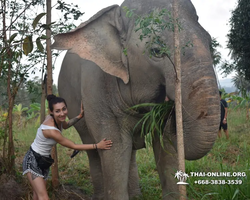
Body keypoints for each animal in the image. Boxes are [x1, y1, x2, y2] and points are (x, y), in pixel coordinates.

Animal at [51, 0, 220, 199]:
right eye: (156, 50)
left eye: (209, 41)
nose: (172, 104)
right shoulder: (96, 87)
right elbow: (114, 147)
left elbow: (165, 147)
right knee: (92, 149)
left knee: (130, 149)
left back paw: (136, 195)